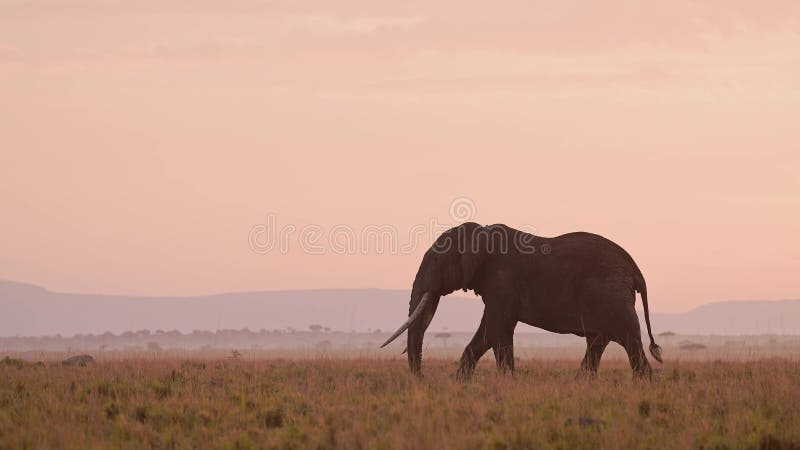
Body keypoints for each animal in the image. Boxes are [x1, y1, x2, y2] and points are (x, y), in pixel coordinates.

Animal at [382, 221, 664, 380]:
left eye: (436, 260)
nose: (422, 379)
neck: (481, 232)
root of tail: (634, 268)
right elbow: (488, 332)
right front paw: (461, 383)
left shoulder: (503, 279)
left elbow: (496, 330)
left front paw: (507, 384)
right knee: (598, 342)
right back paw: (582, 384)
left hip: (612, 296)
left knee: (628, 340)